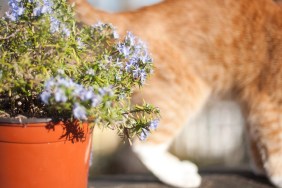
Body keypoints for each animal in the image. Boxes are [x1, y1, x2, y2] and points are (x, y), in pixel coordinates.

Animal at [69, 0, 282, 187]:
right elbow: (275, 140)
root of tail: (128, 17)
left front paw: (260, 167)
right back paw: (179, 175)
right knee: (144, 145)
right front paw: (278, 175)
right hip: (183, 92)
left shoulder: (251, 102)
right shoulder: (269, 102)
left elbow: (255, 138)